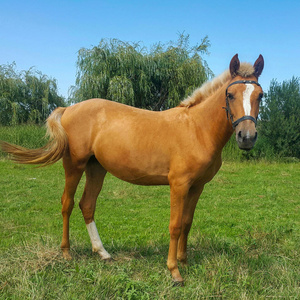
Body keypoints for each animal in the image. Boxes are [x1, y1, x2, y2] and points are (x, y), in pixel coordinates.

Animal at [0, 53, 262, 284]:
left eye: (260, 95)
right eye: (230, 94)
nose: (247, 137)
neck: (197, 128)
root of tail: (69, 109)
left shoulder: (197, 186)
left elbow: (187, 222)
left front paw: (184, 261)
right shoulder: (178, 185)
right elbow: (175, 225)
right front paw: (174, 272)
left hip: (96, 168)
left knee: (87, 205)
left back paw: (103, 253)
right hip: (74, 165)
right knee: (68, 203)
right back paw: (66, 252)